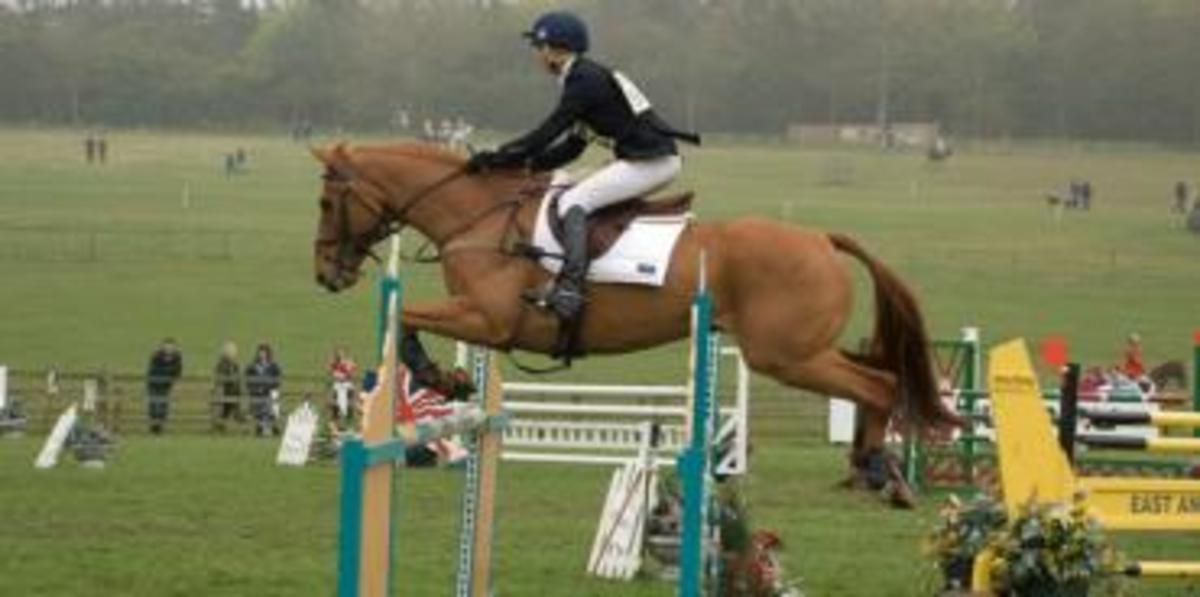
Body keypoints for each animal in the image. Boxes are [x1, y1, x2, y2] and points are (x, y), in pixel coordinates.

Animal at [311, 142, 961, 506]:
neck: (476, 217)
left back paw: (882, 473)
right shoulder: (484, 322)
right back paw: (868, 471)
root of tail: (822, 239)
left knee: (878, 383)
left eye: (325, 203)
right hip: (799, 350)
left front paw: (442, 379)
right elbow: (408, 316)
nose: (325, 274)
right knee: (877, 373)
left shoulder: (490, 321)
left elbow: (405, 316)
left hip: (784, 354)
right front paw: (451, 379)